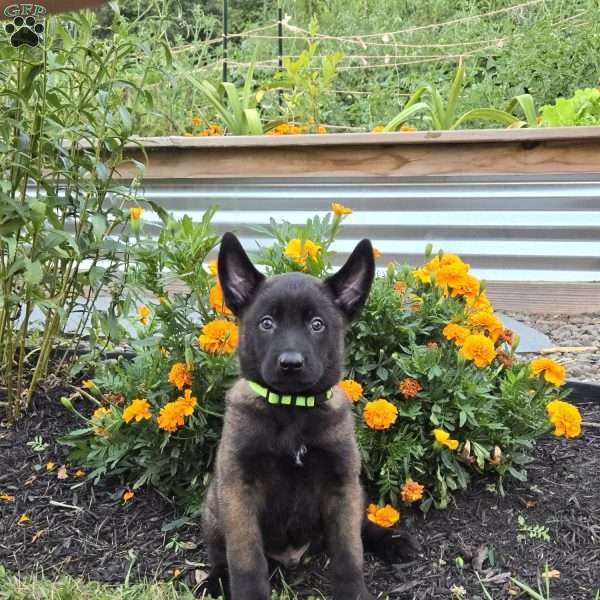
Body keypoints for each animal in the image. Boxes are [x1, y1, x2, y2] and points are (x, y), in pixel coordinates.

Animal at [199, 233, 414, 600]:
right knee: (220, 554)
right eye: (267, 323)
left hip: (355, 492)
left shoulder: (341, 485)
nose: (291, 363)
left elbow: (349, 552)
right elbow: (245, 559)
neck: (292, 409)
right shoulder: (239, 490)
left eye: (317, 325)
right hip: (215, 505)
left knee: (361, 527)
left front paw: (353, 592)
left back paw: (391, 540)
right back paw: (215, 579)